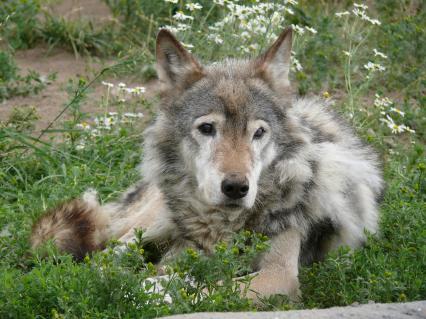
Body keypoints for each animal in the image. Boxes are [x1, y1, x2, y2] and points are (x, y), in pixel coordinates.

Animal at [30, 28, 382, 302]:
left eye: (258, 132)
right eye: (208, 128)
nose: (236, 187)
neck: (226, 226)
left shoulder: (279, 275)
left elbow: (213, 286)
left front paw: (156, 287)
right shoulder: (189, 249)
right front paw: (148, 284)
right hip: (156, 220)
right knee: (107, 254)